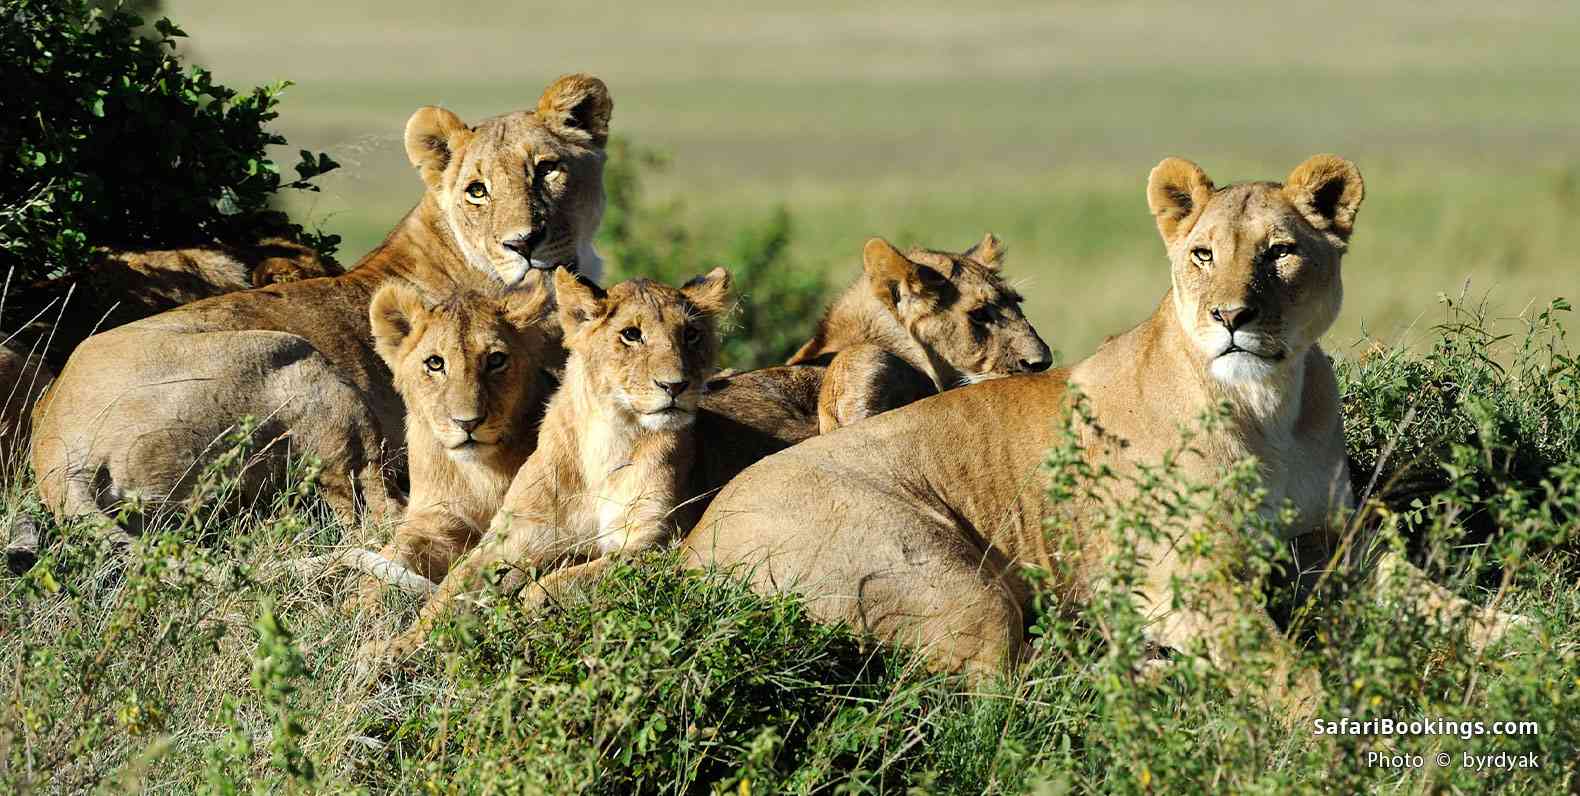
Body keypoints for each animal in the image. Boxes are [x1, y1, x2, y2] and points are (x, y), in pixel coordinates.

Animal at [27, 74, 613, 551]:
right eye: (477, 190)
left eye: (547, 170)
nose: (524, 243)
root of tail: (55, 450)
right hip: (301, 362)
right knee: (374, 515)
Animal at [371, 266, 731, 658]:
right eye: (631, 335)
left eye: (691, 335)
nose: (676, 386)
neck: (608, 441)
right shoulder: (502, 536)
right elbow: (448, 587)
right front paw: (394, 647)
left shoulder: (656, 542)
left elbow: (566, 580)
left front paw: (528, 607)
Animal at [683, 155, 1525, 716]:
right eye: (1203, 254)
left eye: (1282, 252)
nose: (1232, 316)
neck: (1269, 406)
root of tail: (691, 547)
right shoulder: (1181, 572)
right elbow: (1282, 667)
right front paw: (1341, 723)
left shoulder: (1336, 543)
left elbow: (1440, 603)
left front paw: (1528, 639)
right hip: (955, 579)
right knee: (1005, 693)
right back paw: (1154, 673)